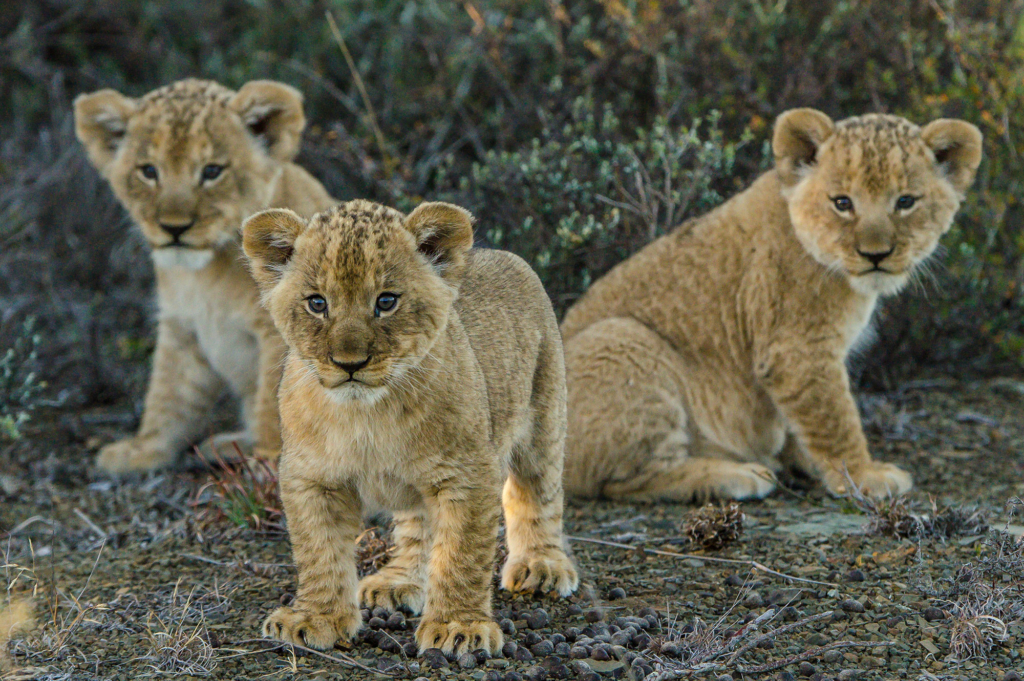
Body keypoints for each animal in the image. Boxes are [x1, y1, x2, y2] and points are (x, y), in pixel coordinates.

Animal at [74, 78, 336, 473]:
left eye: (212, 171)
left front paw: (270, 462)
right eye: (148, 171)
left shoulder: (281, 331)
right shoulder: (182, 326)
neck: (205, 277)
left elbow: (273, 400)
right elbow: (167, 394)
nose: (174, 228)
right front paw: (142, 451)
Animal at [241, 200, 579, 656]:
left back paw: (540, 565)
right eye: (317, 303)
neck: (366, 415)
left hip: (543, 420)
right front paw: (316, 618)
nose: (349, 363)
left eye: (386, 301)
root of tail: (505, 255)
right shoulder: (312, 477)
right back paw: (398, 581)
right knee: (418, 524)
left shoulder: (468, 473)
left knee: (536, 493)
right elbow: (319, 551)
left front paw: (458, 627)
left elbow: (462, 552)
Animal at [561, 109, 982, 502]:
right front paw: (862, 476)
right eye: (842, 203)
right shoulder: (798, 352)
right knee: (627, 480)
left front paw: (810, 462)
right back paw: (737, 475)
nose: (875, 255)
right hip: (625, 339)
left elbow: (805, 423)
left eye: (906, 202)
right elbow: (835, 419)